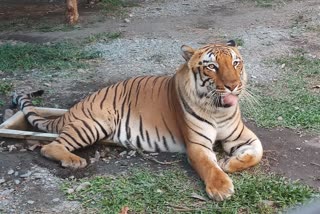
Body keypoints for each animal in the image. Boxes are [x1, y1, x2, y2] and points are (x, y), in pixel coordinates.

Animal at [12, 40, 262, 202]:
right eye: (212, 66)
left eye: (236, 63)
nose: (233, 86)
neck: (218, 111)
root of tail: (74, 107)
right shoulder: (197, 145)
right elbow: (208, 165)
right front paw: (221, 188)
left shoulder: (240, 135)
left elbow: (257, 152)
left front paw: (230, 162)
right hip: (93, 124)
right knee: (50, 146)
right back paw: (74, 160)